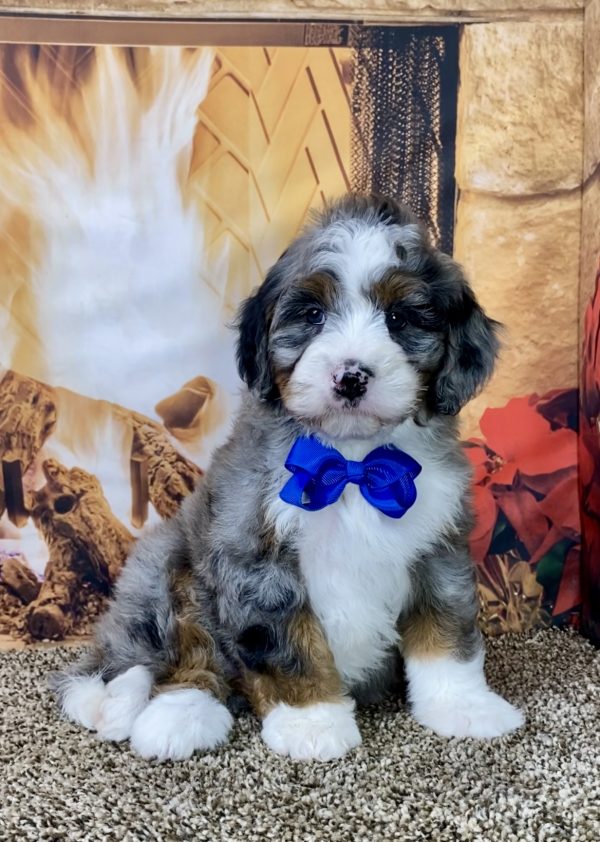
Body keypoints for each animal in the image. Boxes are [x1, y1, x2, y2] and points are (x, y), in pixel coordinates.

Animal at [54, 194, 524, 756]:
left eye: (399, 317)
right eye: (314, 315)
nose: (350, 377)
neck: (352, 465)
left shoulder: (438, 543)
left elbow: (446, 630)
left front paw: (463, 705)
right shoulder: (254, 556)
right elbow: (287, 642)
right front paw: (313, 723)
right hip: (167, 561)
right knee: (179, 652)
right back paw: (164, 714)